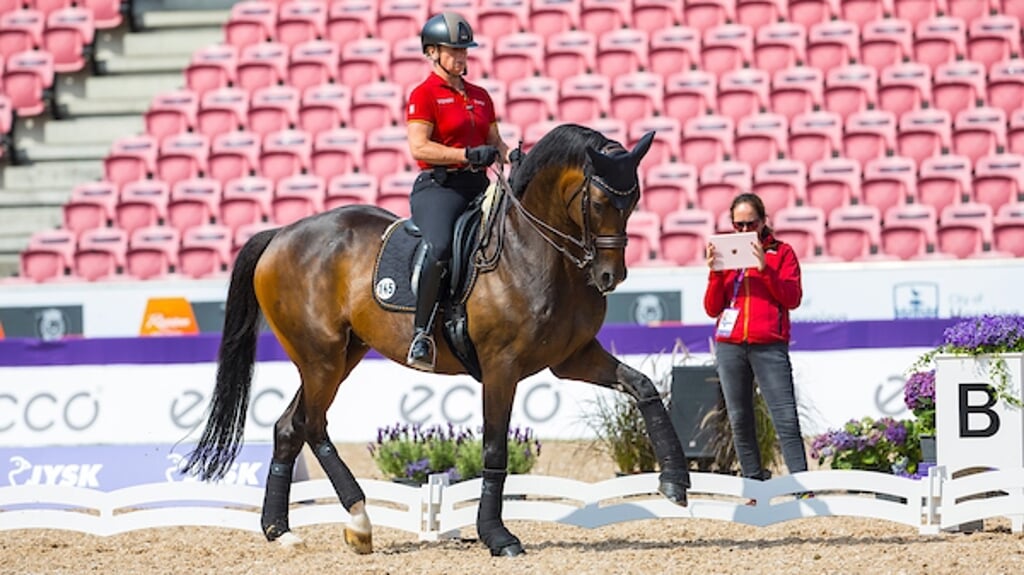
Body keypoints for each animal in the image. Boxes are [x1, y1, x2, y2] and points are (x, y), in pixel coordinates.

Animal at [186, 121, 696, 556]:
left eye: (634, 200)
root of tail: (281, 234)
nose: (610, 276)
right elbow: (495, 447)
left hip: (341, 355)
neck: (534, 252)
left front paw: (675, 481)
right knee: (312, 425)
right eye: (599, 201)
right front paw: (497, 536)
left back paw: (281, 530)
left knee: (289, 427)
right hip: (321, 357)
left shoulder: (574, 358)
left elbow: (643, 386)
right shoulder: (501, 367)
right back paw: (358, 519)